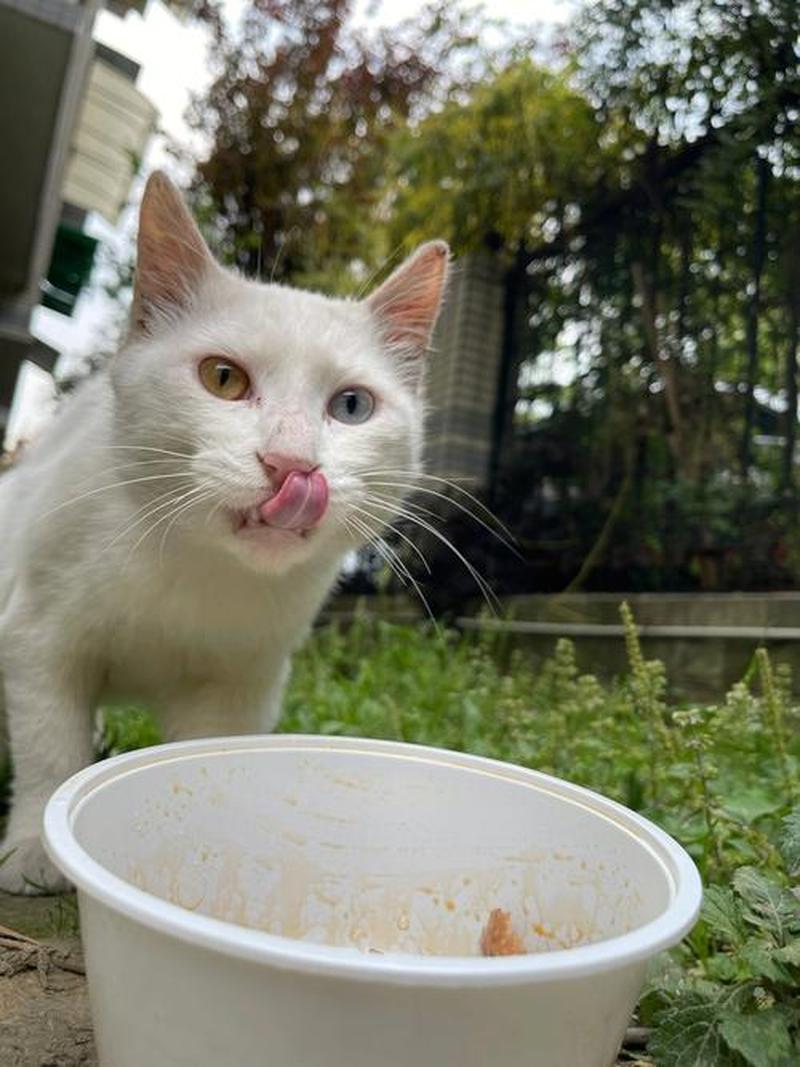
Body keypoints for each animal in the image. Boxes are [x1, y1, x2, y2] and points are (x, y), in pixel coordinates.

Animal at [0, 172, 452, 892]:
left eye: (352, 406)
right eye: (223, 378)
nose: (292, 463)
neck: (199, 567)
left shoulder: (240, 685)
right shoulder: (37, 633)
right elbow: (50, 742)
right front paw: (35, 848)